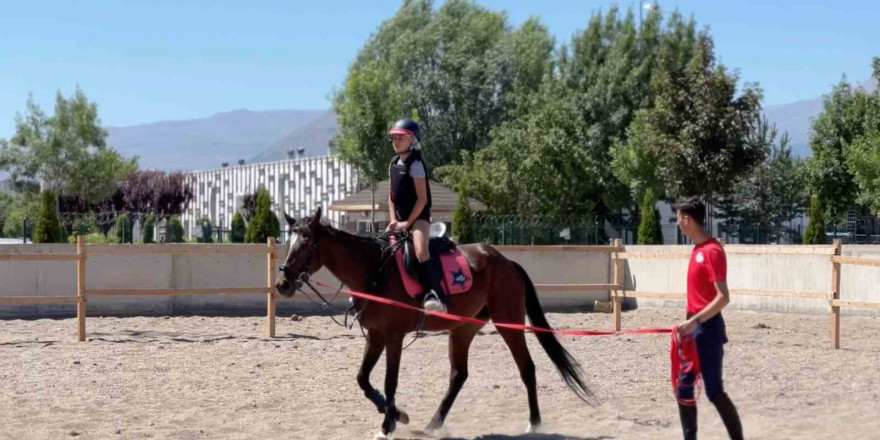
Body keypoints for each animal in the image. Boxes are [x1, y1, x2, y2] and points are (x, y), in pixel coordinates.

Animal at [276, 208, 592, 438]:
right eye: (288, 242)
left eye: (306, 243)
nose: (282, 283)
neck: (374, 270)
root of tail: (506, 261)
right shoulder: (376, 335)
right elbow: (363, 379)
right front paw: (398, 415)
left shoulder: (393, 336)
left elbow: (389, 381)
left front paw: (388, 425)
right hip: (463, 329)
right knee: (458, 375)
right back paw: (433, 424)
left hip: (508, 323)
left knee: (526, 367)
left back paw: (534, 424)